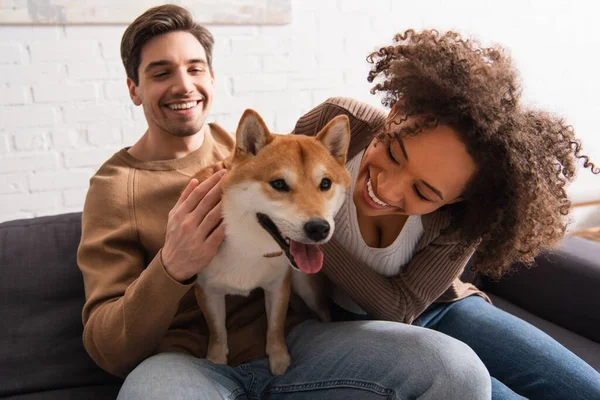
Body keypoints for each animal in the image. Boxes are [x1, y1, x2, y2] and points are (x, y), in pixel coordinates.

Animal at [195, 109, 350, 376]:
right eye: (279, 184)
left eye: (325, 183)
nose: (319, 228)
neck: (248, 245)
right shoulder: (207, 290)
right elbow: (217, 332)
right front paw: (215, 360)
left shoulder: (279, 285)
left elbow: (275, 326)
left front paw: (279, 359)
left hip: (305, 286)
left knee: (323, 311)